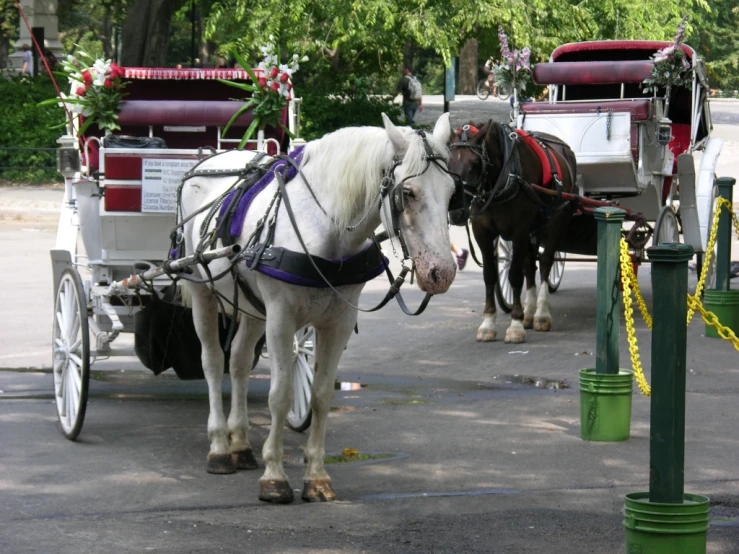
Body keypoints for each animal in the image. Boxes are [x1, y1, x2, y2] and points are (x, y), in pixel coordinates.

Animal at [179, 112, 456, 500]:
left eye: (452, 192)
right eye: (408, 192)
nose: (442, 273)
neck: (327, 227)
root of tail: (211, 159)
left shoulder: (339, 322)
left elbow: (322, 396)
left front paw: (317, 476)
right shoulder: (280, 319)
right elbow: (280, 396)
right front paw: (275, 477)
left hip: (252, 307)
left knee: (238, 363)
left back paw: (240, 444)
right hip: (203, 293)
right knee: (213, 362)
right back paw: (219, 446)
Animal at [448, 122, 580, 340]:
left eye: (475, 163)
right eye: (448, 164)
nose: (456, 212)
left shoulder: (519, 230)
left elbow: (515, 275)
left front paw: (515, 325)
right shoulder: (482, 233)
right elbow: (490, 276)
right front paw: (488, 324)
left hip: (557, 220)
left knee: (545, 262)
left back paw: (541, 314)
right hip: (533, 229)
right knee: (530, 265)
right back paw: (530, 312)